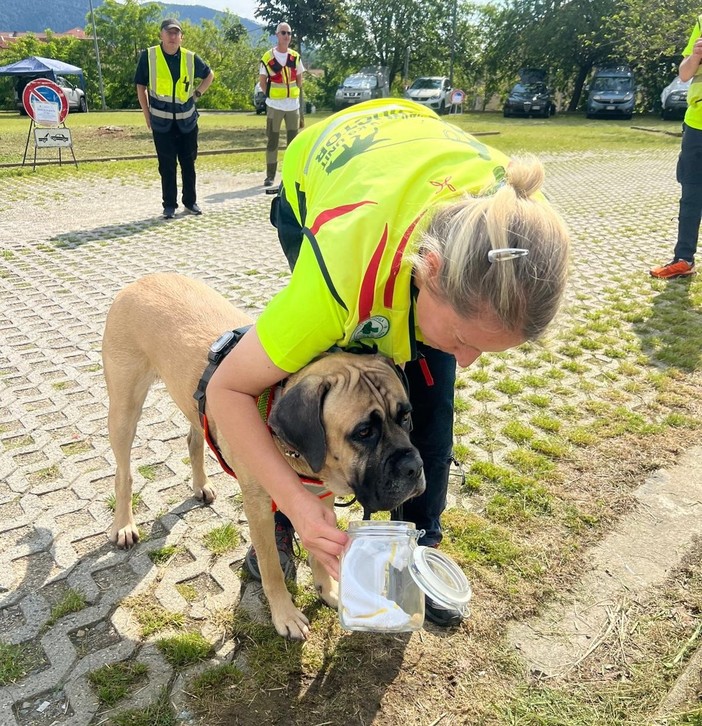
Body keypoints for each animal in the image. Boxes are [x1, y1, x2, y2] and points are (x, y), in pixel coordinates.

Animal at [102, 274, 426, 644]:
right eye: (363, 432)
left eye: (405, 416)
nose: (415, 468)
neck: (300, 456)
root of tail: (143, 279)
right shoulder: (258, 506)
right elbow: (271, 566)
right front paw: (285, 615)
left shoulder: (321, 500)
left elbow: (318, 551)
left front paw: (328, 589)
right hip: (124, 408)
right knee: (123, 472)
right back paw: (123, 524)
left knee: (194, 438)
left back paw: (200, 485)